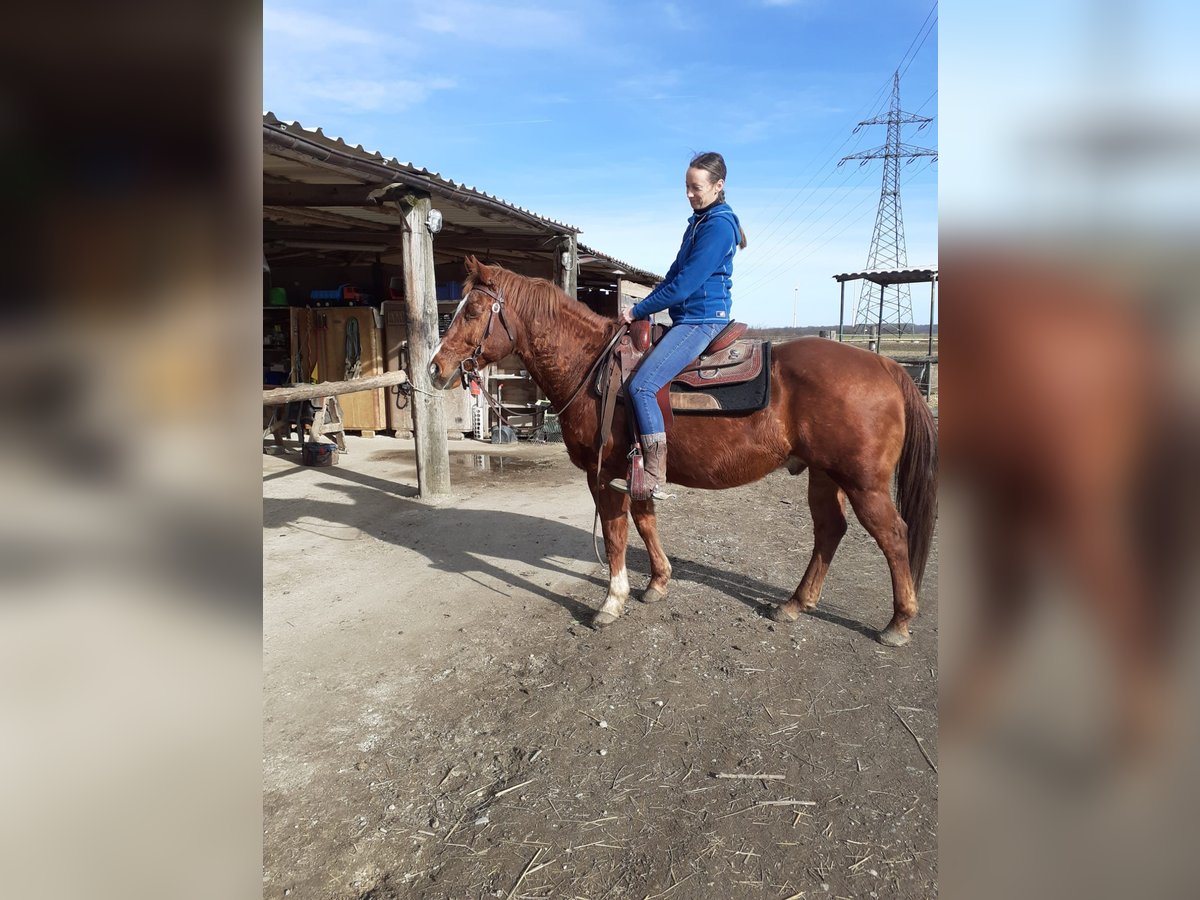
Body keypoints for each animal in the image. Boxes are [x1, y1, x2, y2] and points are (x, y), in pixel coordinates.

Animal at [432, 256, 936, 643]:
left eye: (472, 311)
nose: (436, 368)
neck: (591, 366)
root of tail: (887, 366)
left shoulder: (603, 473)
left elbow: (615, 534)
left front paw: (612, 601)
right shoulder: (636, 470)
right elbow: (645, 521)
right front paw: (657, 582)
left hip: (864, 482)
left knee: (893, 536)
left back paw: (897, 623)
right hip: (824, 475)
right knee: (830, 530)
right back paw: (795, 603)